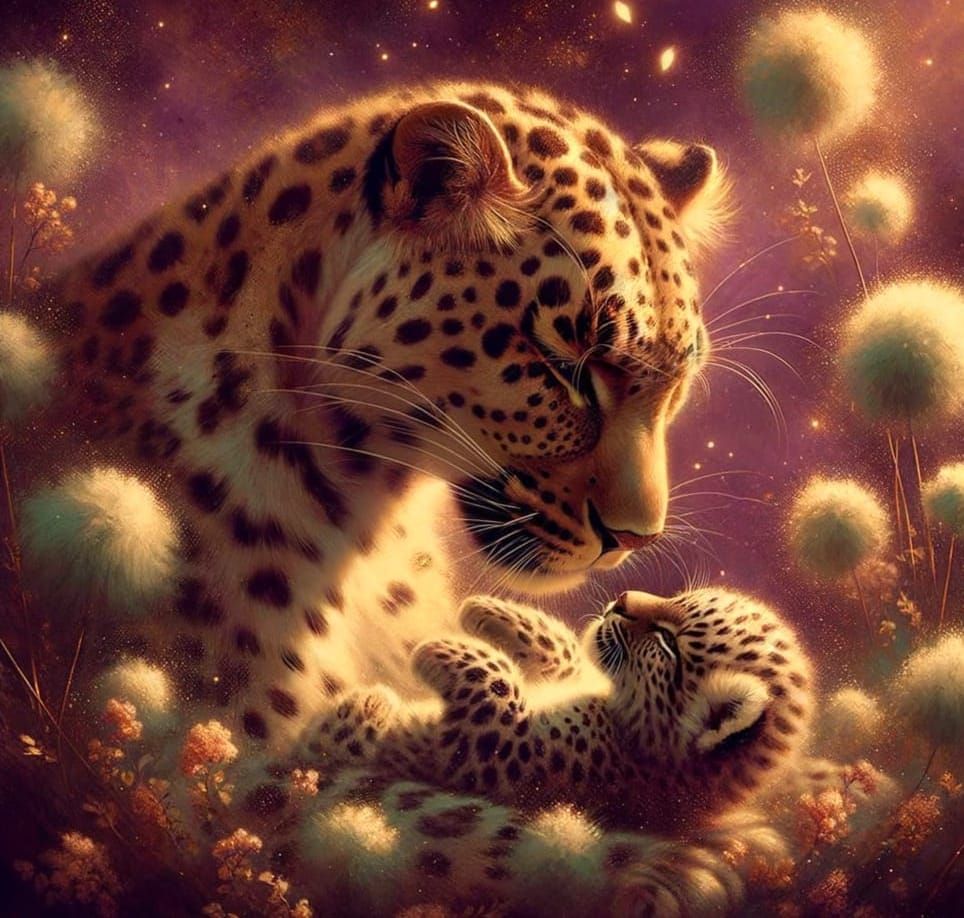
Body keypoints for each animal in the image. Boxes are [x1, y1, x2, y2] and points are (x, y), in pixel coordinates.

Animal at [298, 587, 813, 835]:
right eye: (676, 600)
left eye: (668, 642)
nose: (621, 600)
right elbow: (562, 650)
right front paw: (484, 611)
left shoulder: (507, 755)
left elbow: (498, 686)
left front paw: (437, 648)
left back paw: (369, 705)